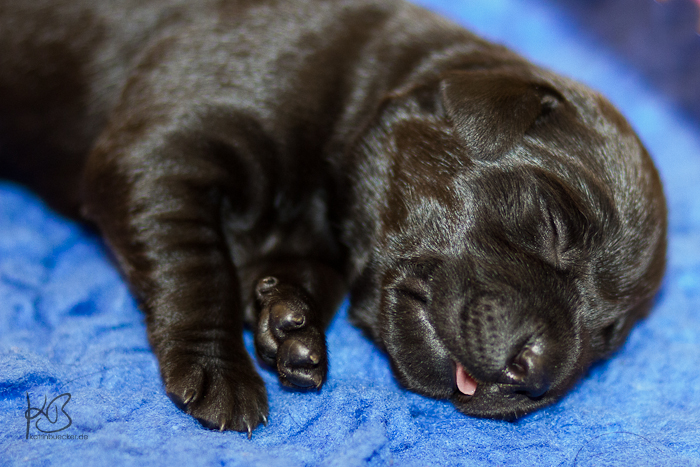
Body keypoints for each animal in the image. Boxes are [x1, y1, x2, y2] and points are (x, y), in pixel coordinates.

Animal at [1, 0, 668, 436]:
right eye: (553, 223)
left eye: (607, 337)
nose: (537, 376)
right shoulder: (158, 153)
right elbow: (195, 266)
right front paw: (221, 370)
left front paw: (289, 319)